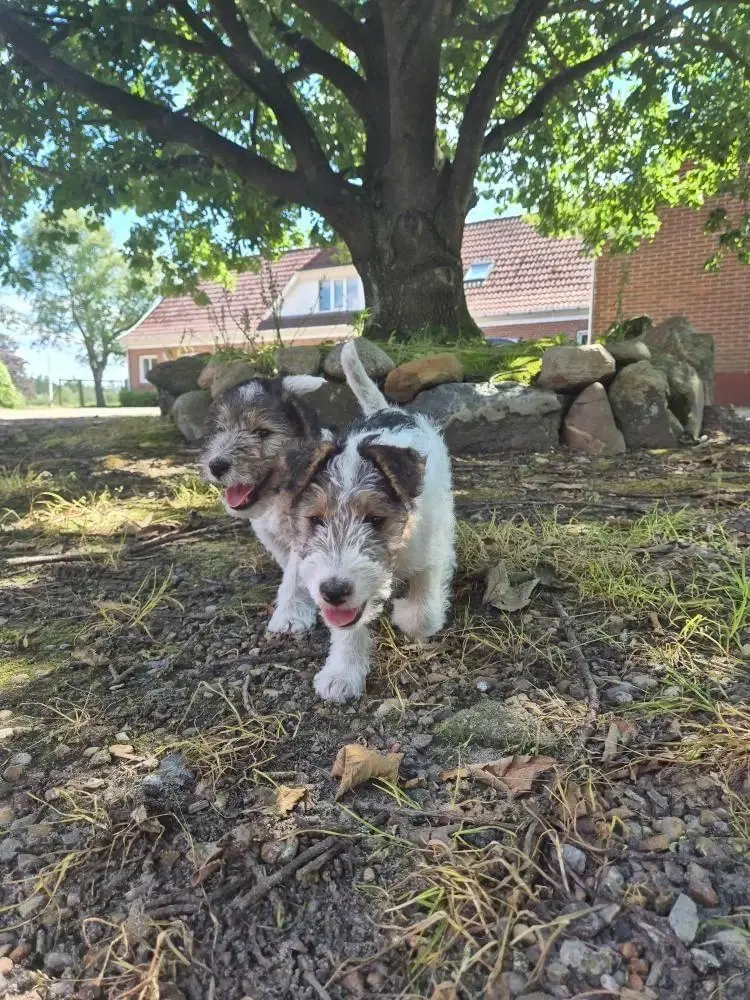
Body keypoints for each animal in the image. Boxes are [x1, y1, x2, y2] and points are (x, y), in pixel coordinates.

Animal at [201, 376, 328, 632]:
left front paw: (289, 617)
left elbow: (295, 575)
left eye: (262, 431)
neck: (280, 495)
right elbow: (289, 566)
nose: (216, 466)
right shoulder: (269, 535)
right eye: (221, 430)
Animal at [282, 344, 456, 704]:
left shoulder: (432, 551)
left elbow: (424, 613)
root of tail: (386, 410)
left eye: (376, 519)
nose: (334, 591)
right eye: (315, 519)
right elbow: (347, 629)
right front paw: (342, 674)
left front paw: (405, 613)